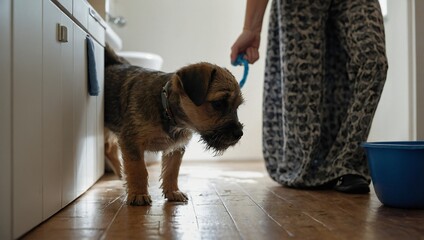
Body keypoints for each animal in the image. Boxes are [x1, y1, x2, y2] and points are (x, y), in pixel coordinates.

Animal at [104, 46, 243, 205]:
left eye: (237, 107)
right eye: (218, 103)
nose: (239, 133)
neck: (166, 111)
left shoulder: (176, 148)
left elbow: (172, 170)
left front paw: (172, 191)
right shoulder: (131, 141)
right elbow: (138, 169)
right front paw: (139, 194)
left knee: (110, 149)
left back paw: (121, 174)